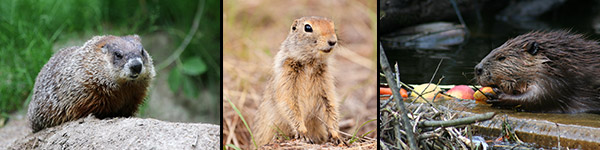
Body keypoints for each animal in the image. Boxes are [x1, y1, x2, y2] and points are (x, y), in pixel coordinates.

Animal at [252, 16, 342, 145]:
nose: (333, 41)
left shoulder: (326, 82)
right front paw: (303, 134)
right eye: (308, 27)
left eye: (332, 25)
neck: (310, 64)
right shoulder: (286, 76)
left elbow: (330, 106)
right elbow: (290, 104)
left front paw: (336, 136)